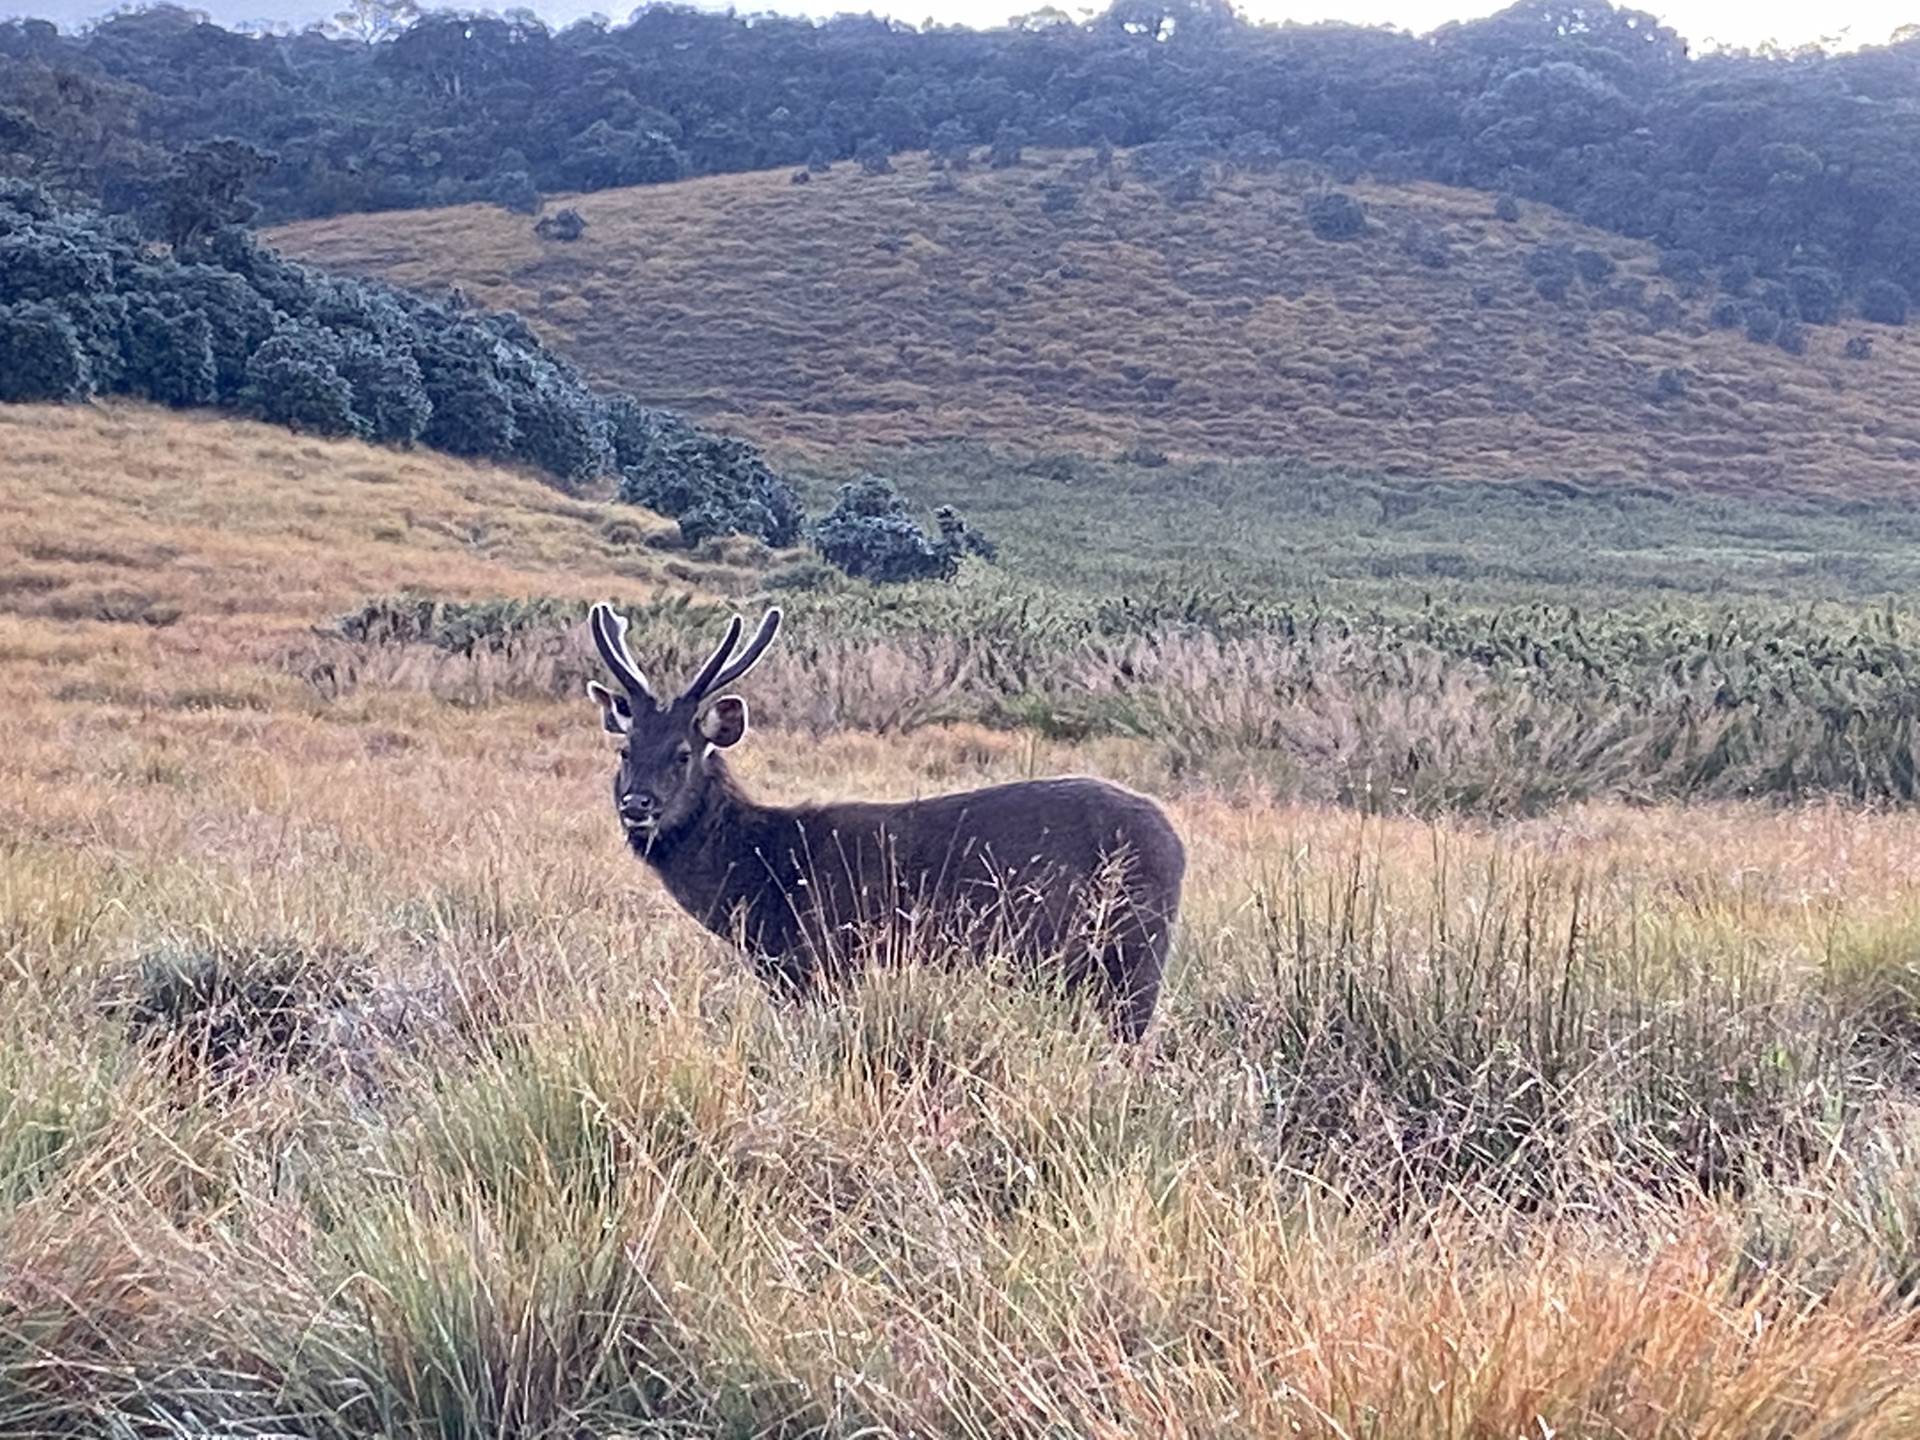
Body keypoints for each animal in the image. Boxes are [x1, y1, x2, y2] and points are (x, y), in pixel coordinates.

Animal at [583, 602, 1182, 1044]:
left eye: (683, 753)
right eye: (625, 751)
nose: (637, 804)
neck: (764, 878)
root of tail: (1177, 844)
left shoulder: (824, 958)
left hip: (1135, 955)